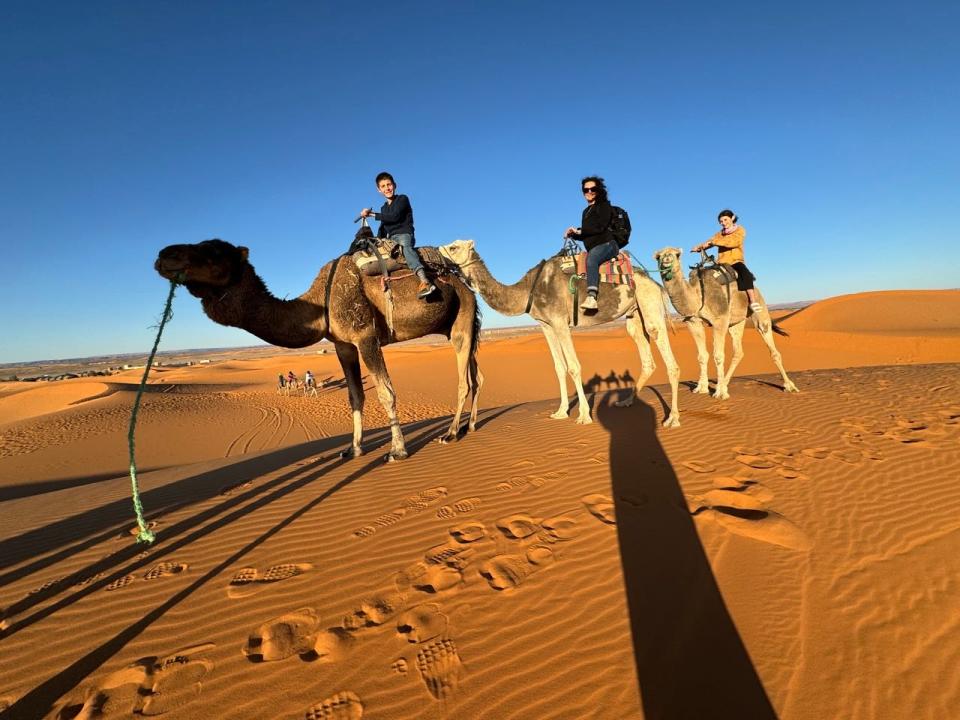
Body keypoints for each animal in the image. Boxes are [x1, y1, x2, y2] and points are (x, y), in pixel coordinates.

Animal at [159, 239, 488, 458]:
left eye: (213, 251)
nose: (164, 255)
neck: (322, 303)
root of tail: (464, 285)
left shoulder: (365, 336)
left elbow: (385, 392)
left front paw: (397, 451)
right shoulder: (343, 345)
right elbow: (355, 396)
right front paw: (353, 450)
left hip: (461, 317)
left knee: (463, 379)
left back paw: (450, 434)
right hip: (458, 324)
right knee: (476, 376)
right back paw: (470, 426)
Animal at [438, 236, 680, 428]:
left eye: (453, 247)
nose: (435, 252)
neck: (528, 290)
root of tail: (655, 283)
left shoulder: (560, 321)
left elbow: (573, 366)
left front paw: (584, 416)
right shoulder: (546, 325)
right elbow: (559, 367)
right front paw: (561, 412)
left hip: (649, 304)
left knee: (667, 356)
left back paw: (672, 419)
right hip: (634, 315)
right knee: (646, 356)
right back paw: (627, 401)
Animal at [652, 245, 804, 396]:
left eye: (676, 254)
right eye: (658, 256)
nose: (666, 259)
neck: (697, 294)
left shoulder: (720, 319)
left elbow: (718, 356)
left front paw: (719, 393)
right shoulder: (693, 322)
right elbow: (702, 356)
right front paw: (701, 388)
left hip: (760, 309)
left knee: (771, 346)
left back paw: (789, 386)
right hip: (736, 323)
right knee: (738, 352)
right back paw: (723, 384)